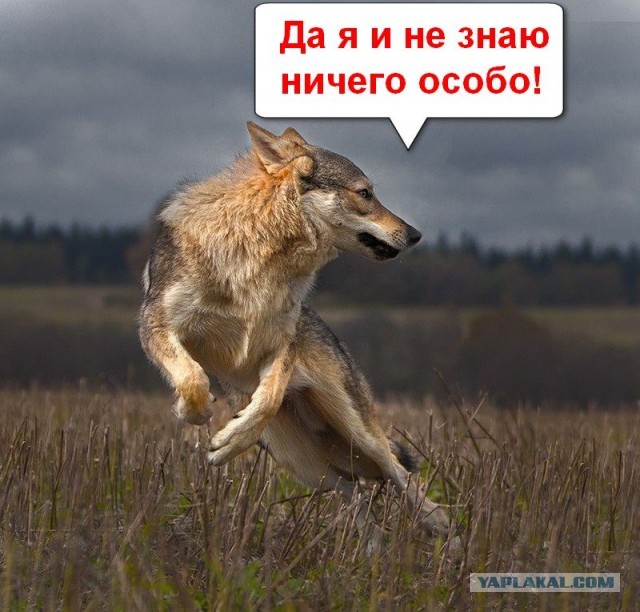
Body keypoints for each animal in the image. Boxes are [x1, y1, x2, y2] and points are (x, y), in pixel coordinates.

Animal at [139, 122, 449, 536]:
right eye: (365, 193)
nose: (415, 234)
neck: (263, 259)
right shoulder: (155, 324)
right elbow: (191, 378)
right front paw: (195, 411)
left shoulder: (281, 345)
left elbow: (268, 399)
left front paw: (230, 439)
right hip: (304, 463)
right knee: (359, 493)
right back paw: (367, 547)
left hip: (358, 435)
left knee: (399, 474)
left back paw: (441, 527)